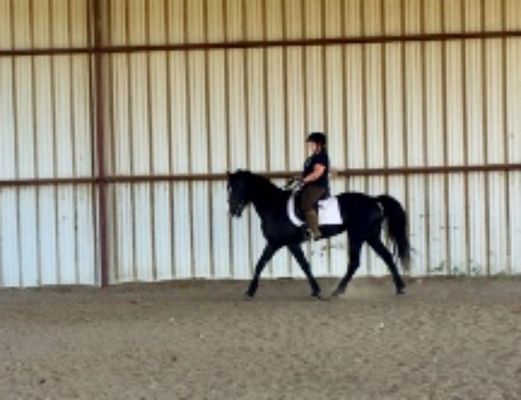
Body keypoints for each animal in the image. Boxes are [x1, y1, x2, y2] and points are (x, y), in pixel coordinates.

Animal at [228, 170, 410, 298]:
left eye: (238, 187)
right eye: (229, 188)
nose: (232, 210)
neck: (273, 205)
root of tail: (374, 200)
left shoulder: (287, 243)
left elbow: (303, 265)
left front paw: (316, 291)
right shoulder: (275, 243)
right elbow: (261, 264)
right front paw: (250, 292)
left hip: (357, 235)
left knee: (354, 262)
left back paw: (338, 291)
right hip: (371, 236)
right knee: (387, 256)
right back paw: (400, 287)